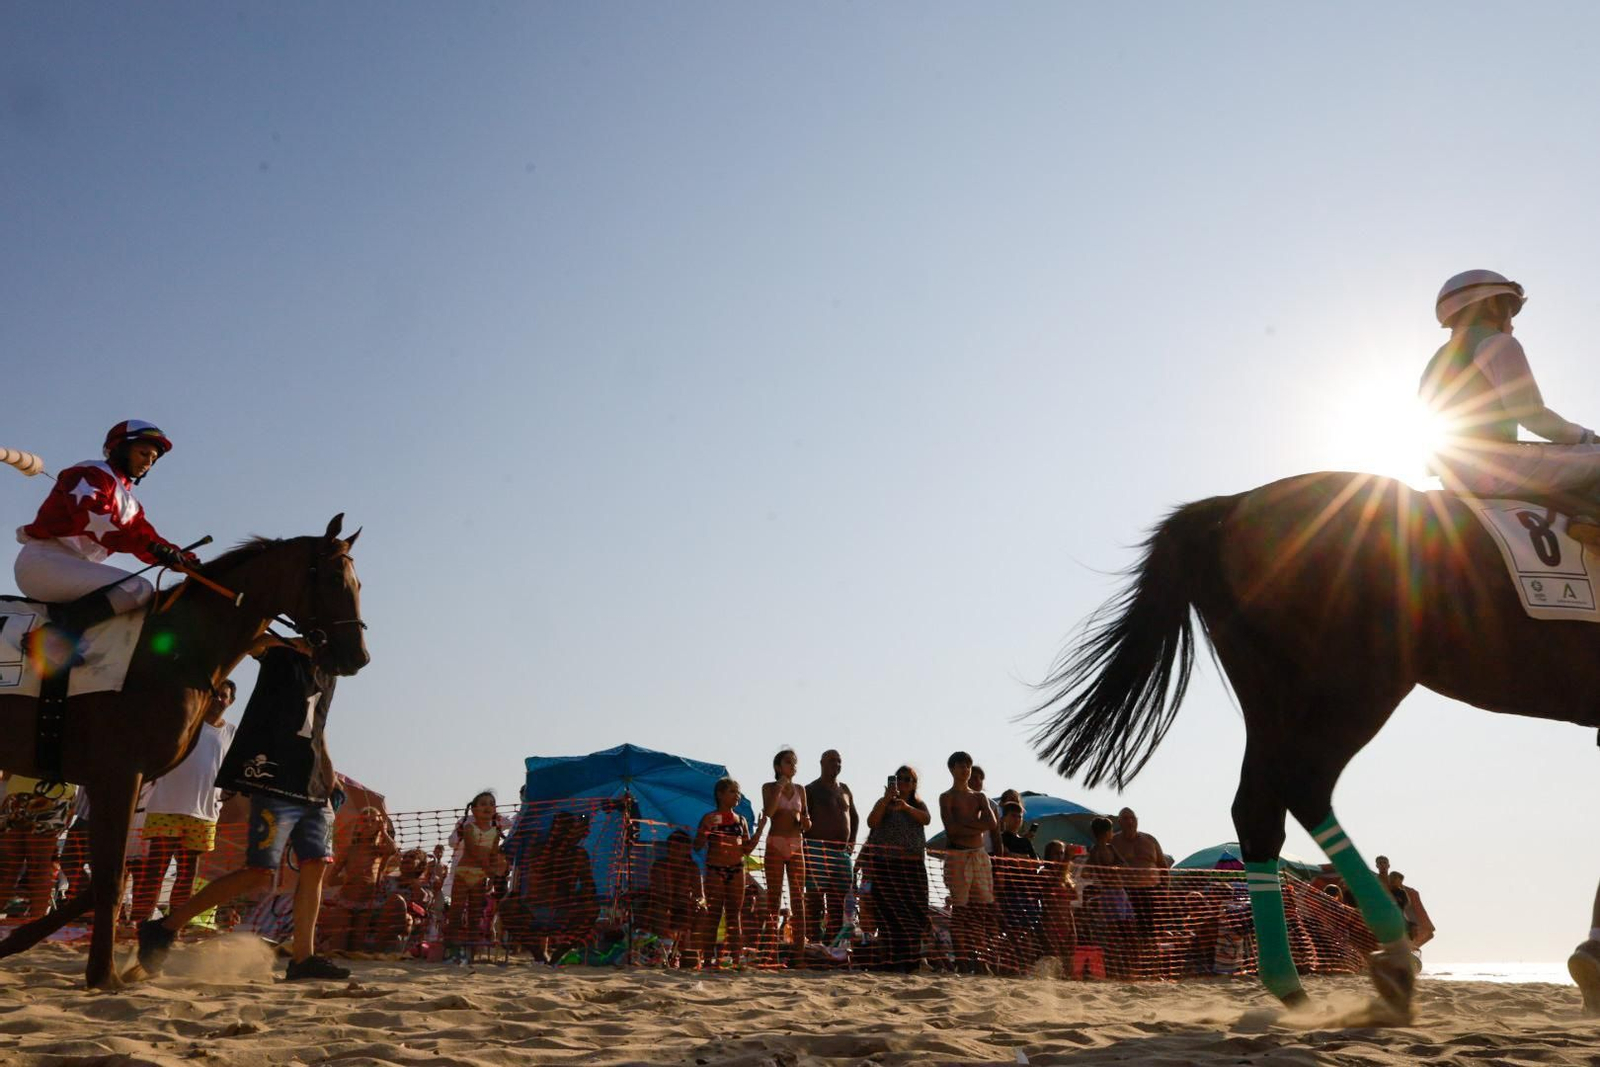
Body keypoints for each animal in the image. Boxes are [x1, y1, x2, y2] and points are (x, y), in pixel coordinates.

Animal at [0, 514, 368, 989]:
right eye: (334, 578)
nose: (358, 656)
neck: (175, 650)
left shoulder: (121, 781)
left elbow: (99, 883)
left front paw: (17, 942)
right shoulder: (119, 774)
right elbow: (109, 881)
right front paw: (105, 975)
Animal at [1031, 470, 1600, 1019]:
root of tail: (1234, 505)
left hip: (1271, 688)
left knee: (1259, 806)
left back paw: (1293, 985)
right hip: (1357, 682)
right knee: (1304, 785)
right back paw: (1391, 949)